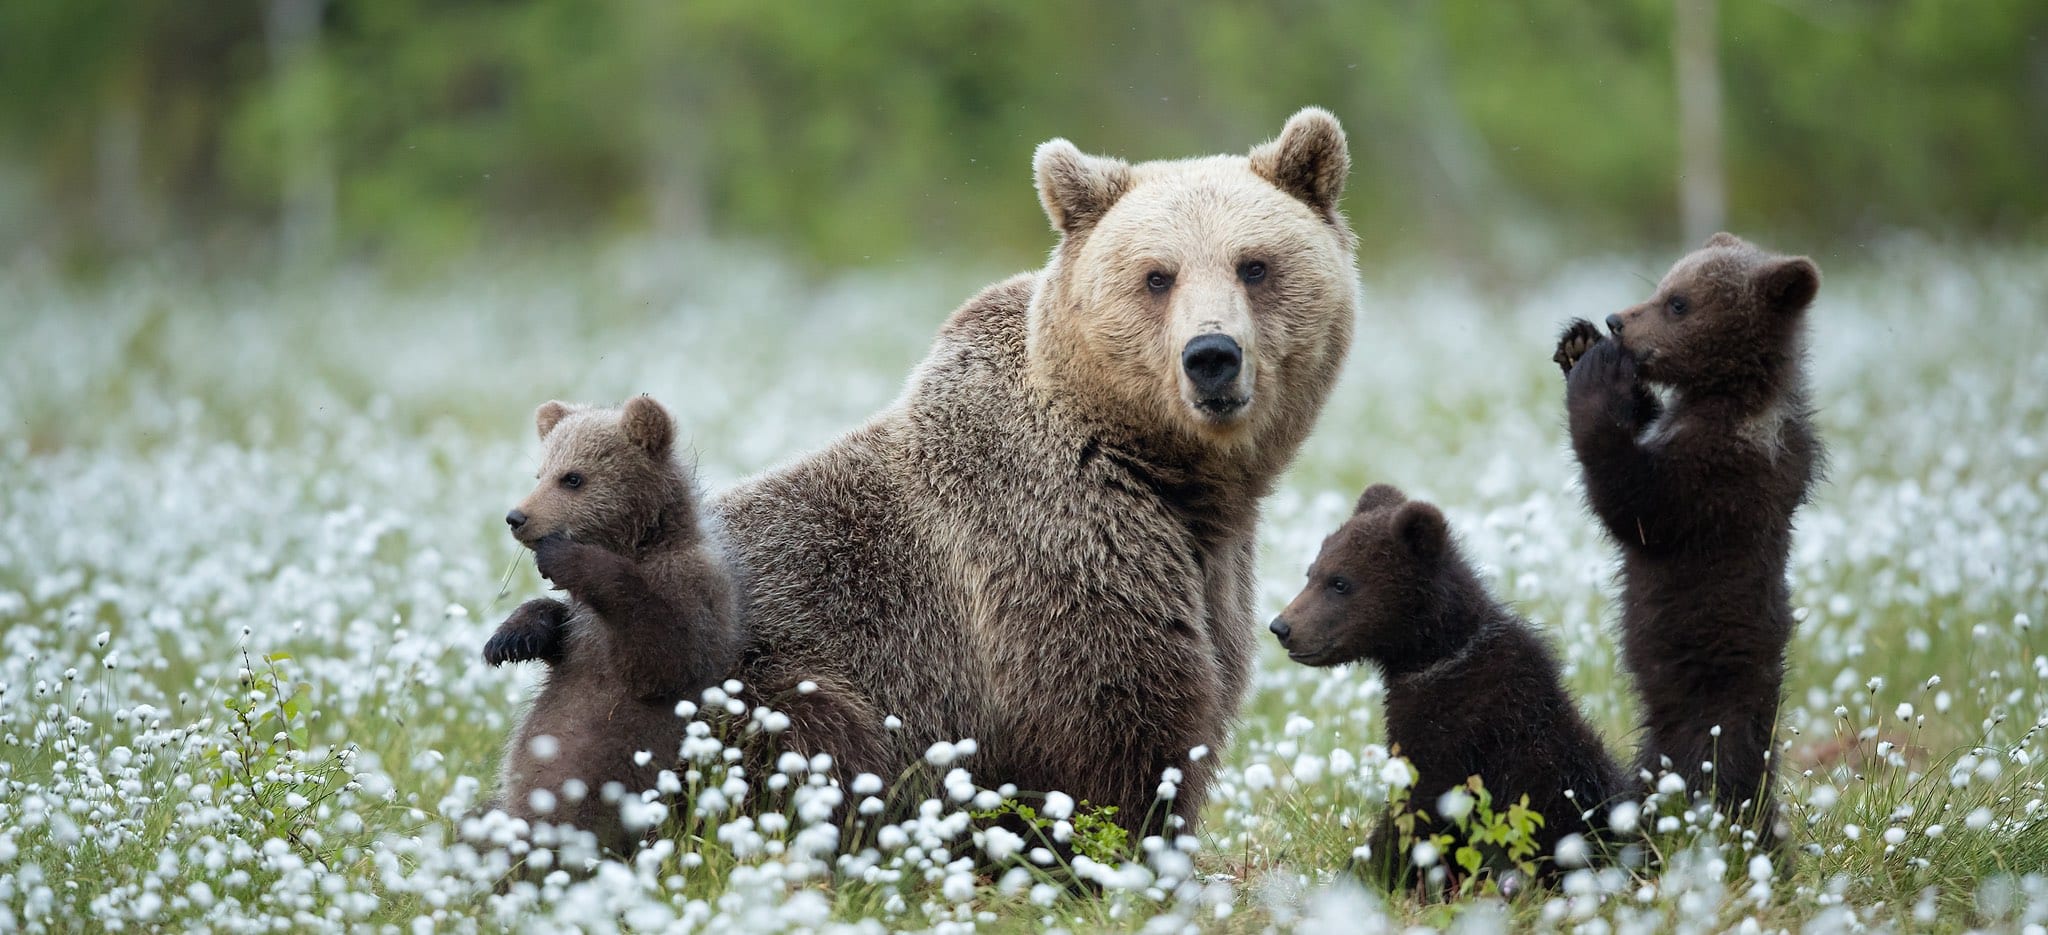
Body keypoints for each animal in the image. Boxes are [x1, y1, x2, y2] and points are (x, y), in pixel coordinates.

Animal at [483, 395, 741, 855]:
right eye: (540, 473)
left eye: (573, 478)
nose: (517, 517)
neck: (643, 541)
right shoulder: (581, 630)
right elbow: (557, 626)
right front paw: (509, 638)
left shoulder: (695, 593)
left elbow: (660, 652)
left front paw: (568, 558)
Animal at [703, 108, 1360, 833]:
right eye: (1158, 276)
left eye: (1255, 265)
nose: (1211, 355)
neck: (1166, 473)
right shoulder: (1054, 552)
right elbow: (1117, 728)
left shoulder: (1214, 573)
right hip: (758, 675)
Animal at [1269, 483, 1626, 888]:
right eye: (1311, 573)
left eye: (1340, 582)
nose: (1282, 627)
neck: (1434, 655)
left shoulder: (1459, 731)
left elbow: (1417, 815)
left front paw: (1366, 873)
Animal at [1554, 232, 1823, 851]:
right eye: (1662, 286)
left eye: (1679, 303)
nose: (1617, 320)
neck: (1727, 396)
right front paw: (1579, 343)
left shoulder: (1718, 479)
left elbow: (1634, 503)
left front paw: (1598, 376)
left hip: (1708, 710)